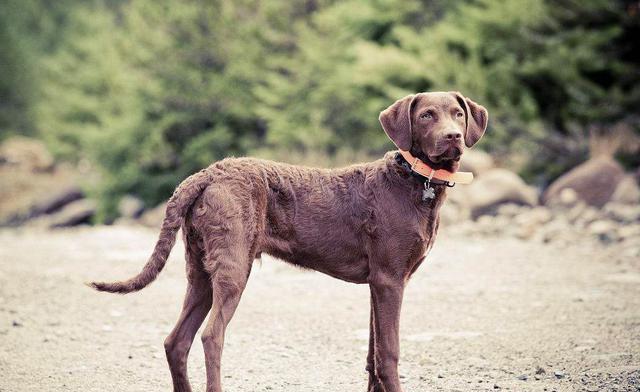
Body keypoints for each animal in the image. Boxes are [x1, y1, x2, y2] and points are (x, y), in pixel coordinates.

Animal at [90, 90, 488, 390]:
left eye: (457, 114)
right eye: (427, 116)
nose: (453, 136)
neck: (415, 180)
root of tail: (206, 174)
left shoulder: (379, 284)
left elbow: (372, 355)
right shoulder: (390, 279)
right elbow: (388, 354)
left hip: (200, 269)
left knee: (176, 341)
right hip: (233, 267)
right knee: (211, 336)